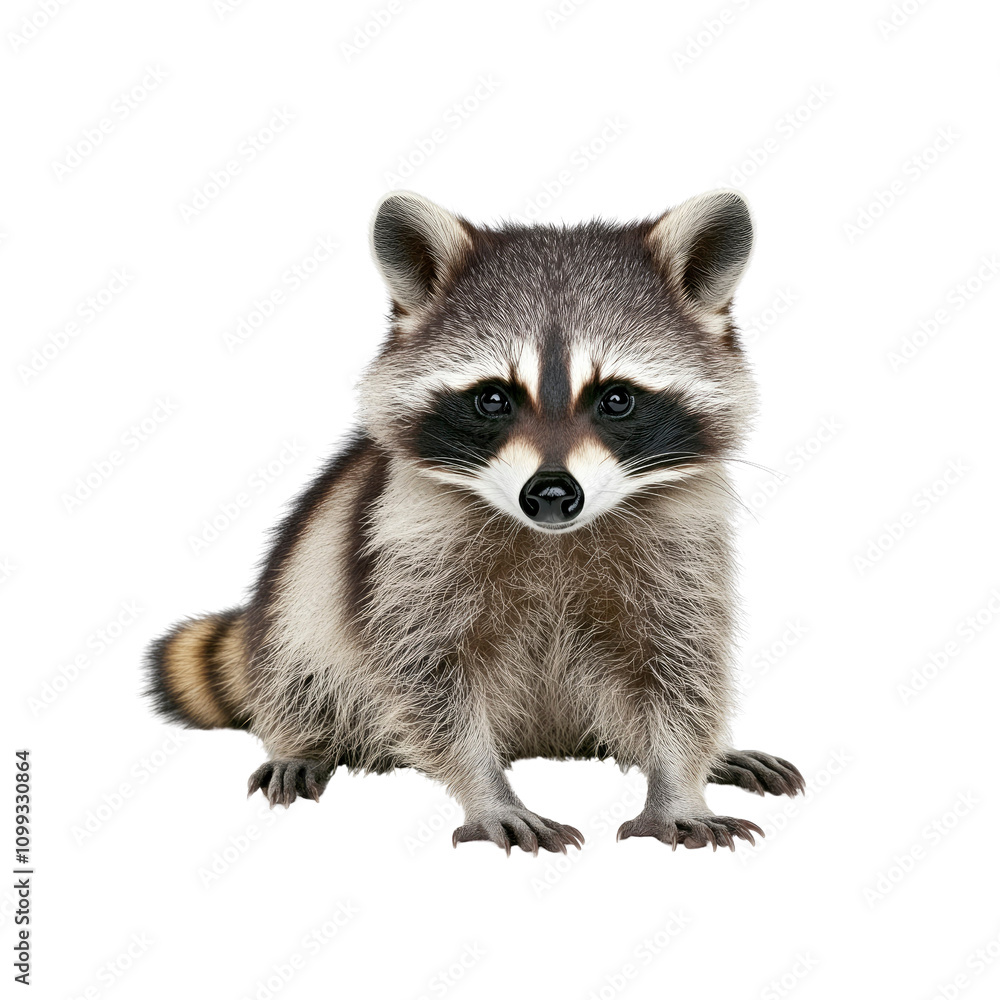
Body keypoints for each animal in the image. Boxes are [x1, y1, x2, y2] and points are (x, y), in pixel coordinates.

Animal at [146, 189, 804, 854]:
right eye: (493, 398)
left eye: (617, 398)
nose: (551, 493)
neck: (551, 538)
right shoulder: (405, 542)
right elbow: (427, 677)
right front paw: (488, 792)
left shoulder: (682, 546)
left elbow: (681, 667)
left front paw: (678, 784)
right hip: (302, 583)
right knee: (299, 658)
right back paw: (302, 739)